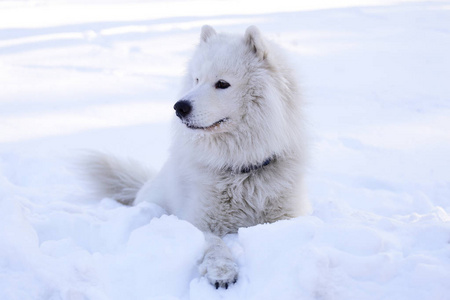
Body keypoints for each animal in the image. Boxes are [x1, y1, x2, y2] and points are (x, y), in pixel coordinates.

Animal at [82, 25, 308, 288]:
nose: (179, 107)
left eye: (222, 83)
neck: (242, 170)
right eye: (197, 79)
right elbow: (215, 244)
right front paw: (222, 271)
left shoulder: (289, 216)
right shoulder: (197, 220)